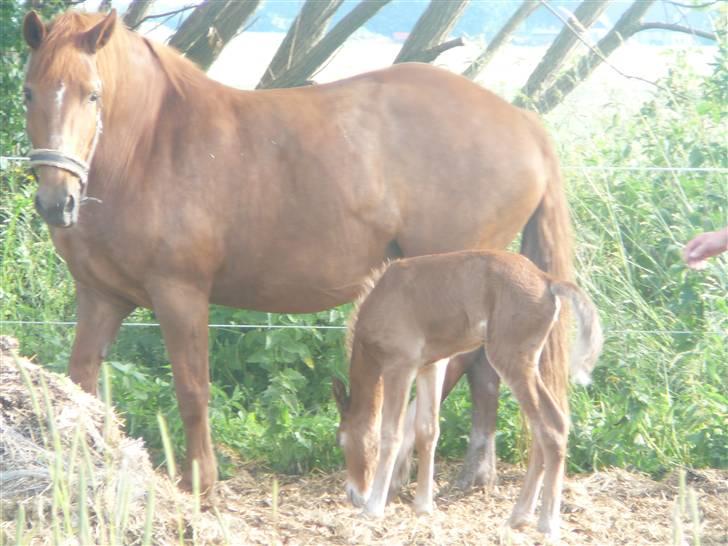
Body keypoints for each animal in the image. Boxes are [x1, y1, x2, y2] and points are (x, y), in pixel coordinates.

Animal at [22, 8, 576, 492]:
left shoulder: (180, 294)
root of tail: (524, 123)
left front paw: (202, 481)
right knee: (483, 370)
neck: (151, 144)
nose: (55, 200)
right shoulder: (101, 297)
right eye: (28, 92)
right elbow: (79, 383)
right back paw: (473, 471)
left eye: (93, 95)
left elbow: (192, 389)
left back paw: (397, 468)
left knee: (455, 368)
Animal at [332, 251, 600, 540]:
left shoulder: (399, 366)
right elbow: (427, 431)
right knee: (540, 429)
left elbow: (391, 434)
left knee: (553, 424)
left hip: (510, 359)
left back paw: (547, 525)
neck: (381, 298)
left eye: (341, 440)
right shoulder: (431, 366)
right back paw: (519, 517)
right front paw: (423, 507)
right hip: (531, 363)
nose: (353, 494)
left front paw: (373, 509)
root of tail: (547, 281)